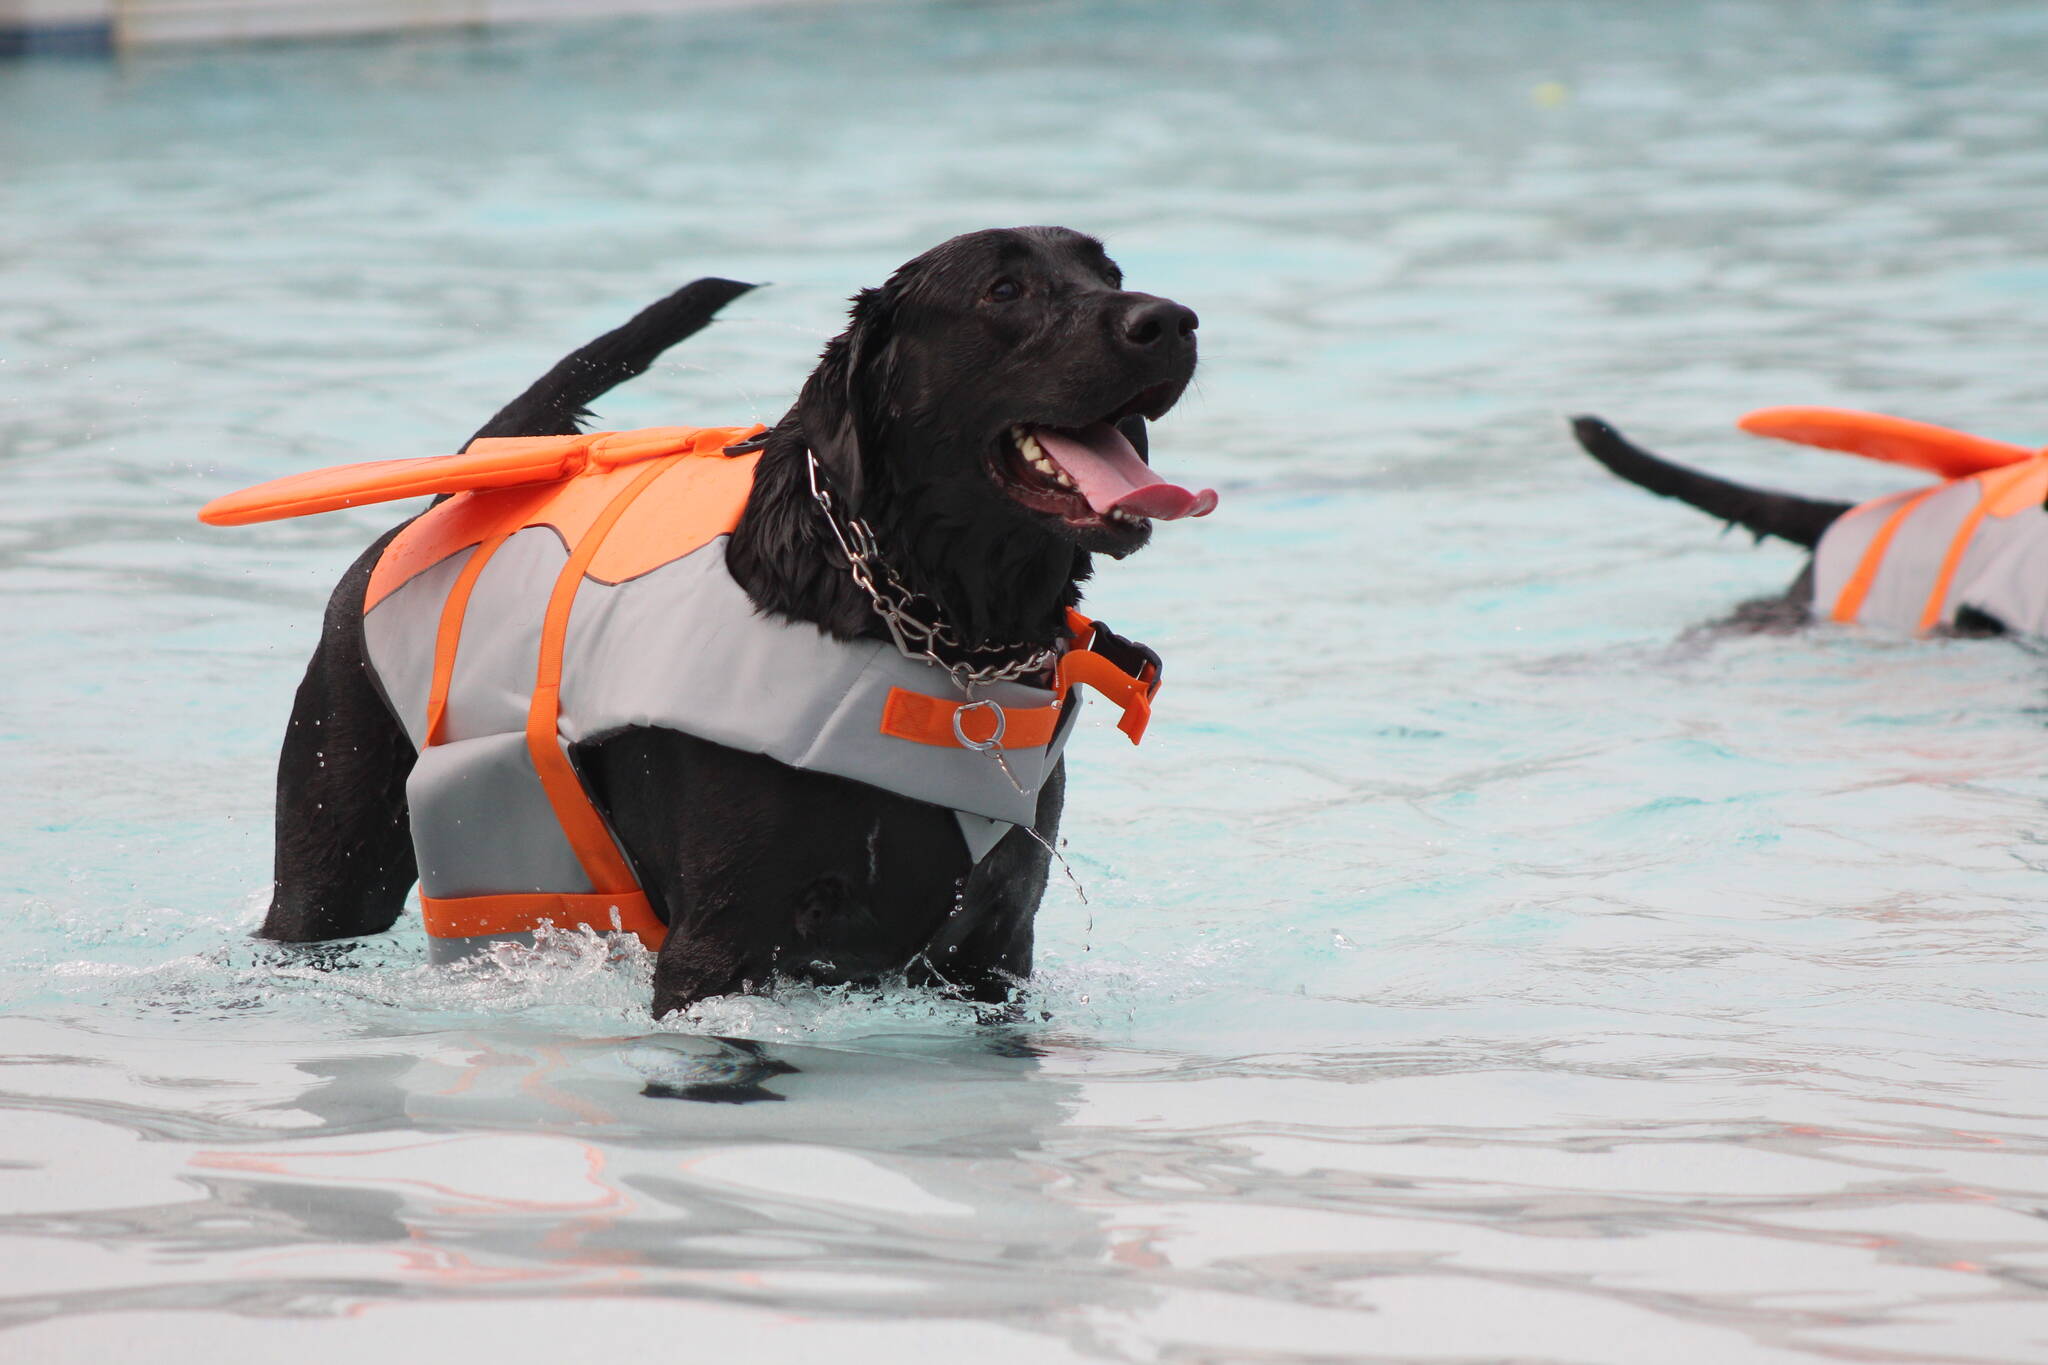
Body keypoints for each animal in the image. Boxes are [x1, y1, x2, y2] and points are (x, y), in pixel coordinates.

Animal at [264, 227, 1204, 1015]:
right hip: (335, 842)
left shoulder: (996, 945)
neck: (927, 625)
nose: (1172, 319)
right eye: (1005, 290)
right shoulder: (717, 946)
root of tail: (448, 493)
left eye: (1108, 273)